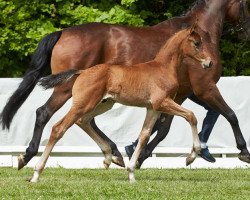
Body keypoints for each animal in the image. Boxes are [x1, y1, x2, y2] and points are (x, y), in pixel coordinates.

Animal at [31, 27, 211, 183]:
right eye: (197, 43)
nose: (209, 63)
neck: (163, 68)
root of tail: (82, 72)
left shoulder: (153, 108)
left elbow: (144, 135)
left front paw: (131, 173)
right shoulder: (163, 102)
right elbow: (191, 116)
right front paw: (191, 157)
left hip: (103, 104)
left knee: (83, 121)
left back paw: (108, 157)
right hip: (84, 104)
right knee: (59, 128)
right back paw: (36, 174)